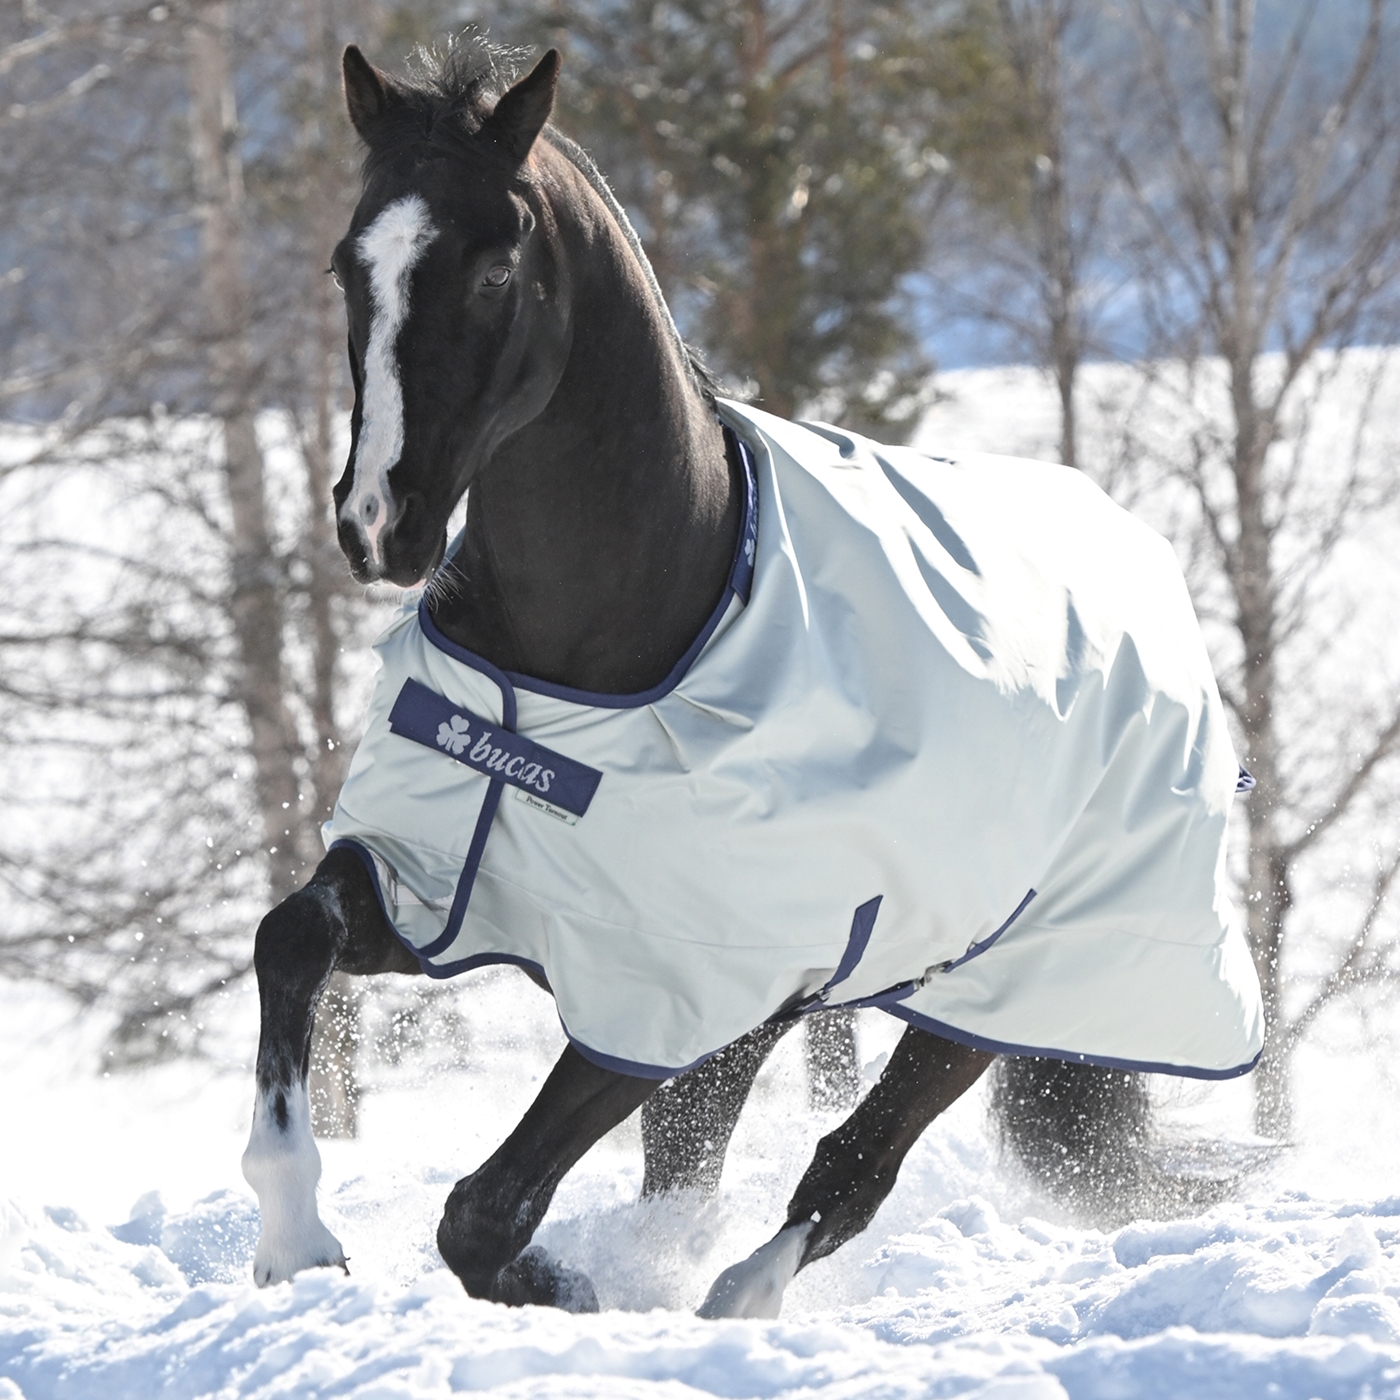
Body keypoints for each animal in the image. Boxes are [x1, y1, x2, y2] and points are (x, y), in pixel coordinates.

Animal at [239, 37, 1263, 1319]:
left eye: (492, 266)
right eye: (348, 264)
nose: (380, 522)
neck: (608, 643)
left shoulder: (669, 990)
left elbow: (482, 1214)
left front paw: (582, 1289)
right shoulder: (443, 882)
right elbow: (289, 935)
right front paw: (296, 1238)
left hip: (992, 996)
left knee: (848, 1171)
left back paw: (730, 1303)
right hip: (793, 1014)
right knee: (707, 1168)